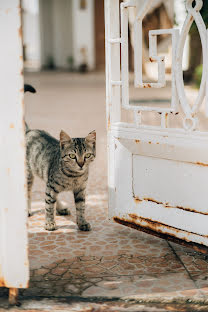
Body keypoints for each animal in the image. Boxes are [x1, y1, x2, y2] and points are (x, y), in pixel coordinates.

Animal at [24, 84, 95, 230]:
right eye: (72, 155)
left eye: (87, 155)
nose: (81, 164)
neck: (73, 176)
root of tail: (30, 131)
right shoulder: (51, 187)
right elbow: (48, 206)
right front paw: (50, 223)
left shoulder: (81, 190)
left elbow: (81, 207)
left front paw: (82, 222)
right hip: (29, 174)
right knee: (28, 192)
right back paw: (27, 209)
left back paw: (61, 207)